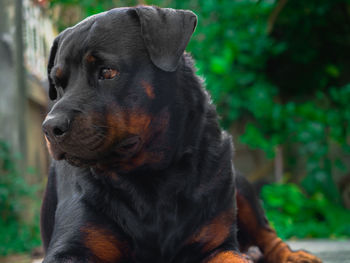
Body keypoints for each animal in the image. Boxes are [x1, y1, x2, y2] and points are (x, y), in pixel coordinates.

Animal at [40, 5, 320, 263]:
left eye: (107, 72)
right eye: (57, 84)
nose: (50, 128)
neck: (152, 177)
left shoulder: (217, 245)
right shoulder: (72, 248)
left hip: (237, 183)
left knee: (266, 233)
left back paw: (294, 255)